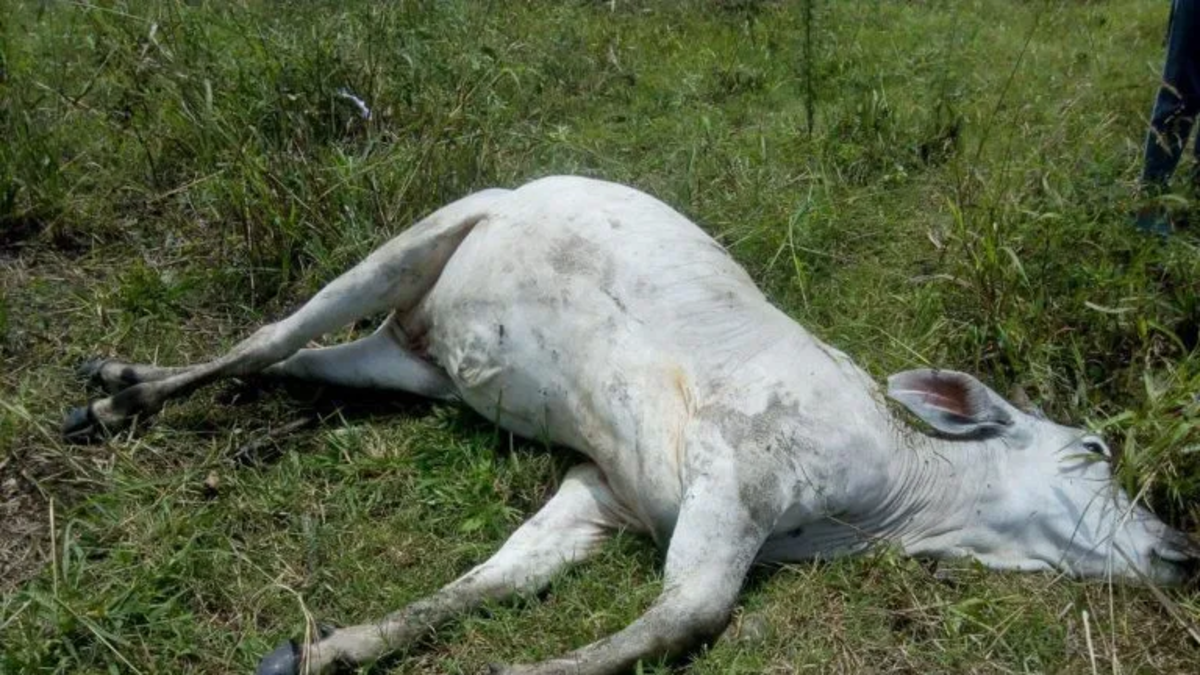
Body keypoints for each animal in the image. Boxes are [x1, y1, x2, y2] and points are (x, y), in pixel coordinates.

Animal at [63, 176, 1197, 675]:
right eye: (1094, 448)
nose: (1182, 548)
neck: (897, 497)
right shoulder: (737, 471)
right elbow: (686, 616)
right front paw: (523, 671)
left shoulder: (606, 489)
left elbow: (497, 576)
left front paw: (329, 646)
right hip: (422, 236)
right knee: (269, 334)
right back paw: (115, 396)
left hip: (413, 364)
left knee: (301, 362)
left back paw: (134, 381)